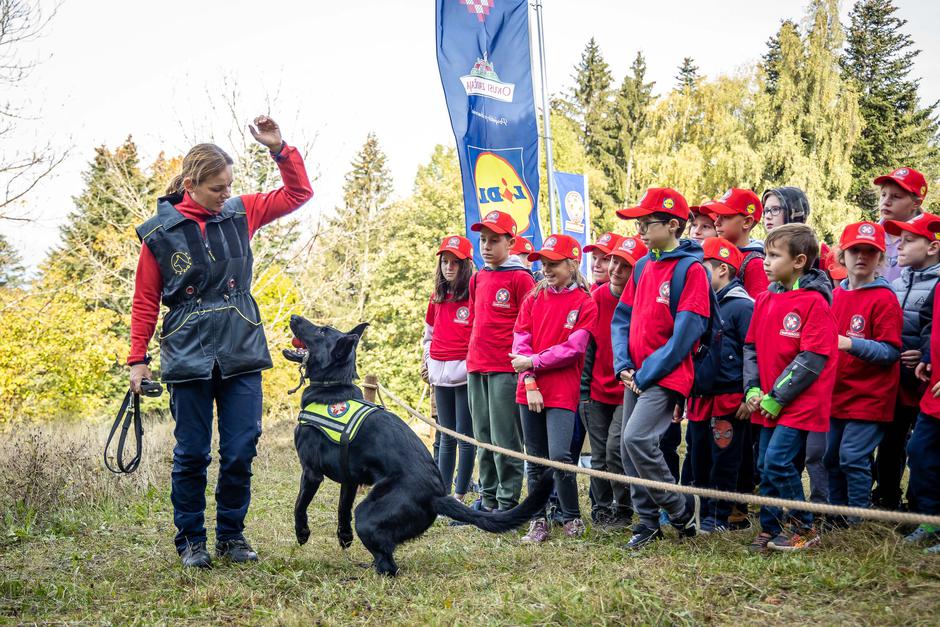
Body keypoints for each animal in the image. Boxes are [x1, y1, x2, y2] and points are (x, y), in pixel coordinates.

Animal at [282, 316, 556, 576]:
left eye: (321, 331)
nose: (294, 317)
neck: (333, 386)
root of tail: (436, 496)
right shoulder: (350, 480)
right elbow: (342, 509)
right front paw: (344, 537)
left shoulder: (311, 472)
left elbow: (300, 504)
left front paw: (302, 532)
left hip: (367, 514)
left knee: (389, 566)